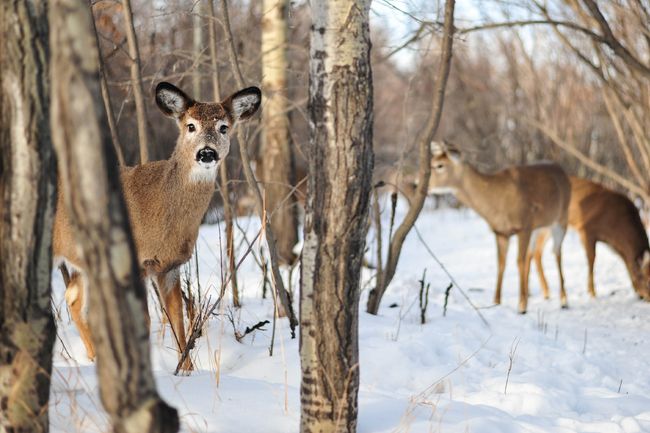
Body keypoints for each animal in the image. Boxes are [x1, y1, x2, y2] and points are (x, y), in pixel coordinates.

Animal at [53, 82, 261, 370]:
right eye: (190, 126)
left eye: (223, 127)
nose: (207, 152)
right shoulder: (136, 262)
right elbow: (145, 321)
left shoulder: (170, 266)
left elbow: (178, 321)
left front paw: (186, 370)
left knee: (73, 299)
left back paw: (94, 358)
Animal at [427, 142, 571, 314]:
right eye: (430, 162)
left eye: (439, 165)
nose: (417, 183)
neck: (496, 198)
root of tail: (562, 170)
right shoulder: (501, 232)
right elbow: (501, 263)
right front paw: (496, 301)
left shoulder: (524, 225)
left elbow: (519, 261)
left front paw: (521, 306)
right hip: (540, 226)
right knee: (535, 253)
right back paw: (538, 293)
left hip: (561, 218)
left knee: (557, 253)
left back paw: (563, 301)